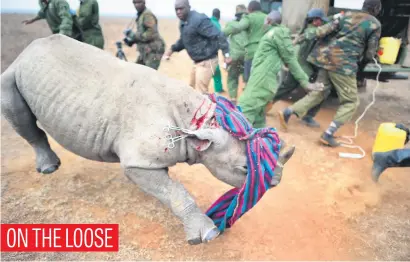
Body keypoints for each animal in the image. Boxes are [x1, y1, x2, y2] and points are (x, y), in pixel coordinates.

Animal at [0, 33, 294, 245]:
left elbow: (169, 188)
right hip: (13, 73)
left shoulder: (152, 156)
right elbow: (176, 191)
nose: (277, 182)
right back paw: (49, 168)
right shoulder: (138, 161)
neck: (196, 120)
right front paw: (206, 235)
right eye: (244, 168)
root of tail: (28, 50)